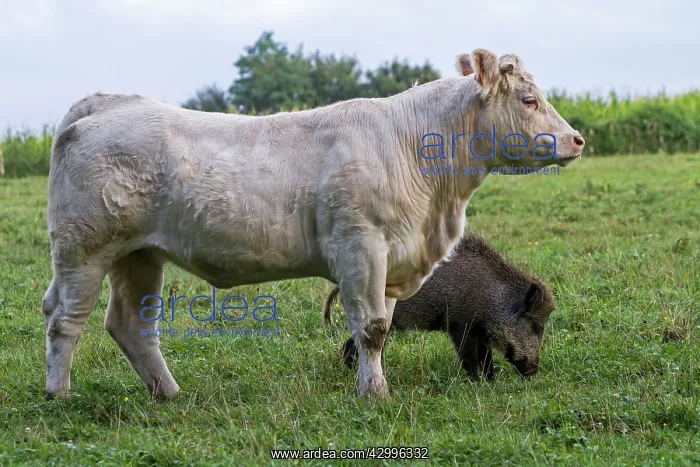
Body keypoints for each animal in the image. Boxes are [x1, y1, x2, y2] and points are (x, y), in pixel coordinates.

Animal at [42, 48, 584, 400]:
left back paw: (169, 393)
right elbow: (371, 329)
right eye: (529, 100)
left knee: (130, 325)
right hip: (83, 250)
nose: (577, 139)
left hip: (139, 255)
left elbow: (382, 328)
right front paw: (376, 394)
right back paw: (59, 396)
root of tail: (109, 104)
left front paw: (372, 383)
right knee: (65, 320)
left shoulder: (392, 259)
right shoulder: (360, 246)